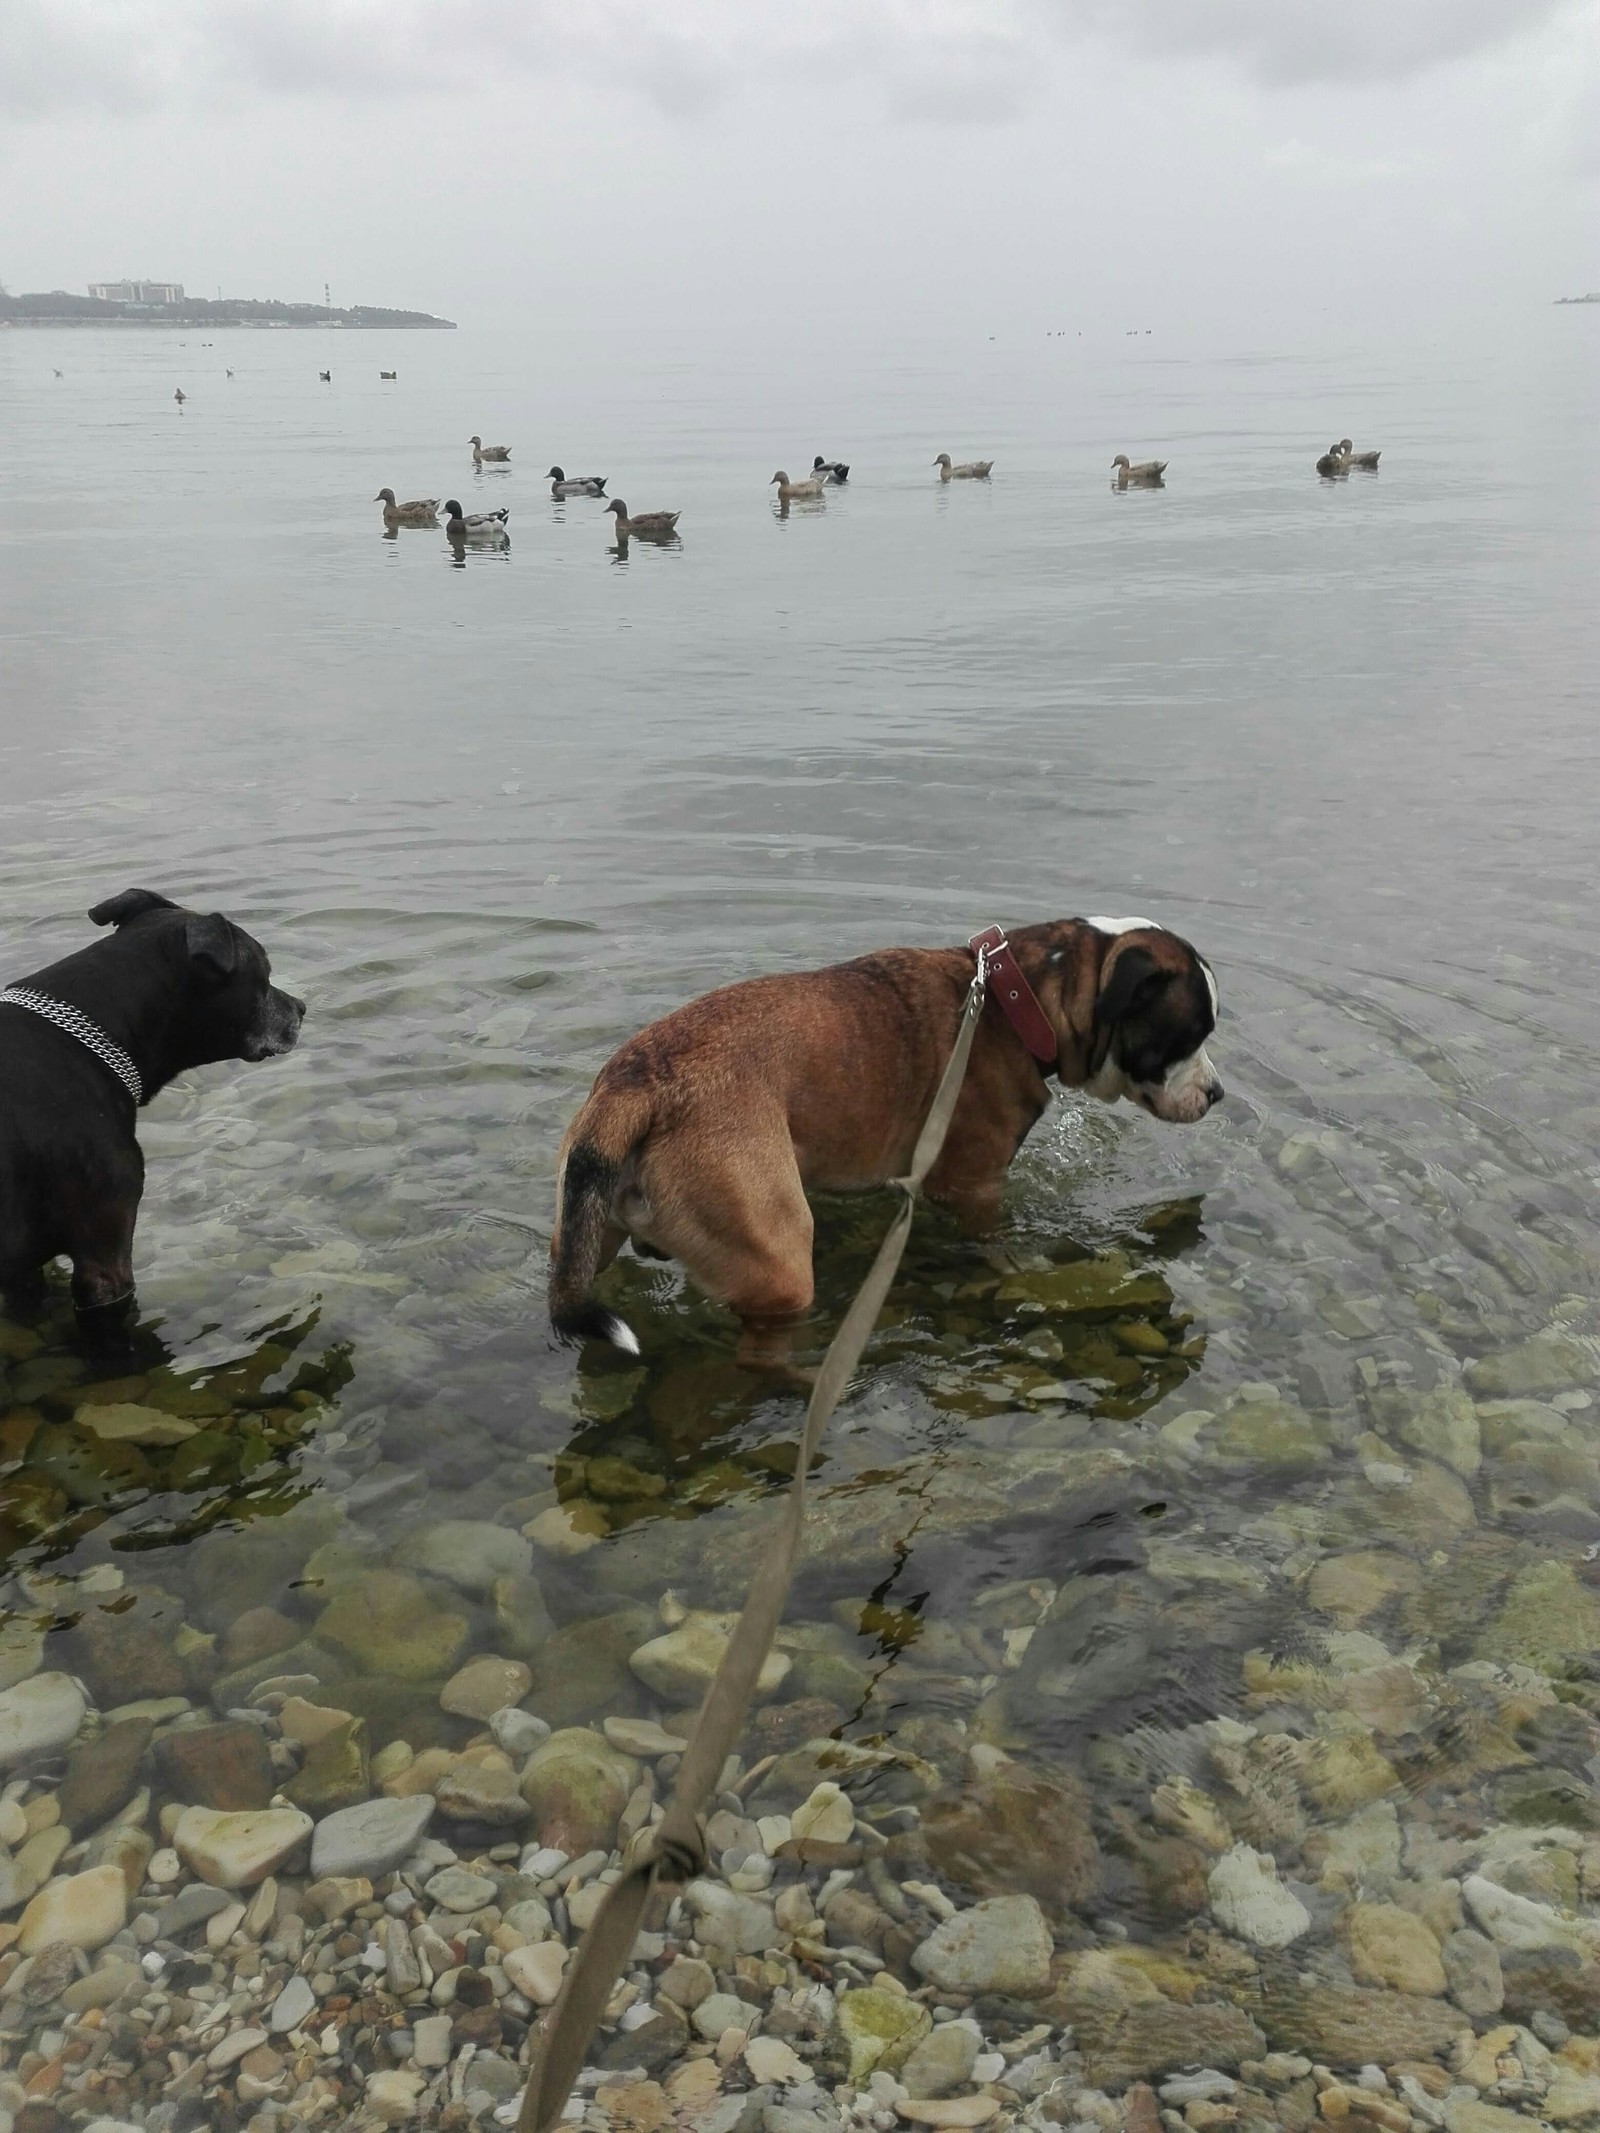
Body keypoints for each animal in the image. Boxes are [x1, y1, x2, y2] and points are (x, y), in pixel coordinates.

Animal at [546, 912, 1220, 1348]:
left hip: (588, 1229)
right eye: (1188, 1035)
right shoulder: (976, 1189)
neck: (1013, 999)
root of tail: (635, 1084)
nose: (1217, 1094)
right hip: (777, 1261)